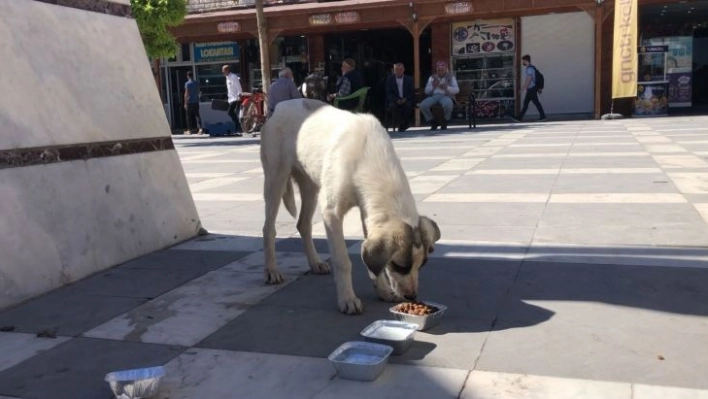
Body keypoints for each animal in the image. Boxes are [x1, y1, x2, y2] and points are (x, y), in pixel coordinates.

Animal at [258, 98, 436, 314]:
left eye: (422, 264)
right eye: (399, 266)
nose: (412, 296)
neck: (368, 156)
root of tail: (282, 105)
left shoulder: (368, 212)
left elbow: (373, 264)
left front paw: (383, 291)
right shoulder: (331, 214)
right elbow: (343, 260)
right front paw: (347, 299)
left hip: (311, 187)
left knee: (303, 224)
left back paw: (315, 263)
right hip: (276, 178)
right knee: (268, 228)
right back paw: (271, 270)